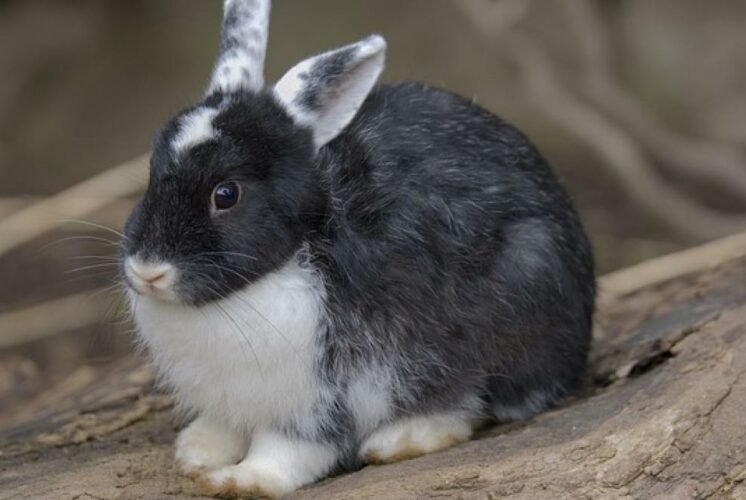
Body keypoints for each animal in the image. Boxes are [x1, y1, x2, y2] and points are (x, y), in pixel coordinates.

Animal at [121, 0, 595, 497]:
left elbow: (288, 448)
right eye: (152, 172)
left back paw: (398, 440)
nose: (148, 270)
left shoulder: (319, 394)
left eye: (226, 194)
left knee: (468, 399)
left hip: (517, 300)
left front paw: (244, 480)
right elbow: (227, 425)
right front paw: (198, 450)